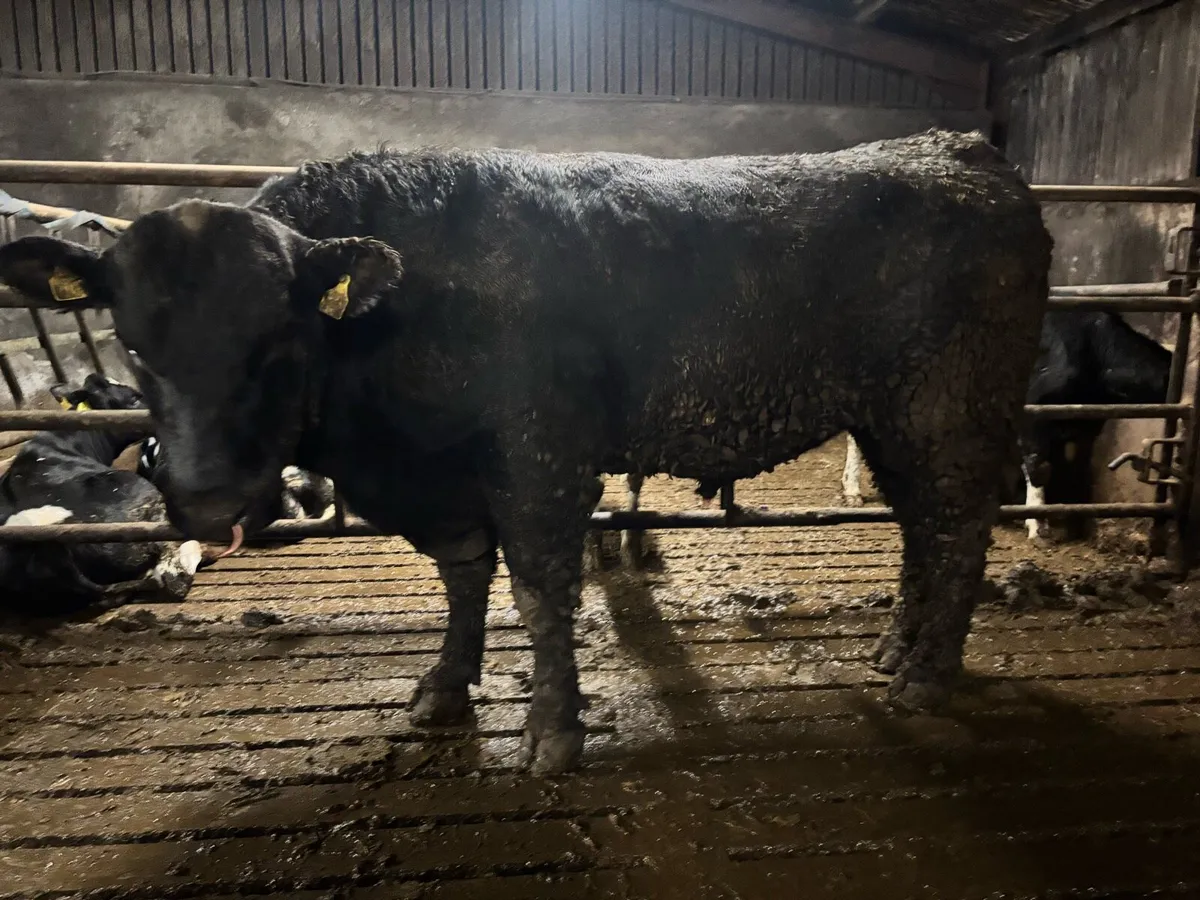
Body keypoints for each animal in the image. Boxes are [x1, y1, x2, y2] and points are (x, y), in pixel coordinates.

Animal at [842, 311, 1172, 541]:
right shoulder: (1032, 415)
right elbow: (1039, 467)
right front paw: (1037, 524)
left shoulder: (1085, 426)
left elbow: (1076, 466)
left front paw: (1077, 521)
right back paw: (854, 489)